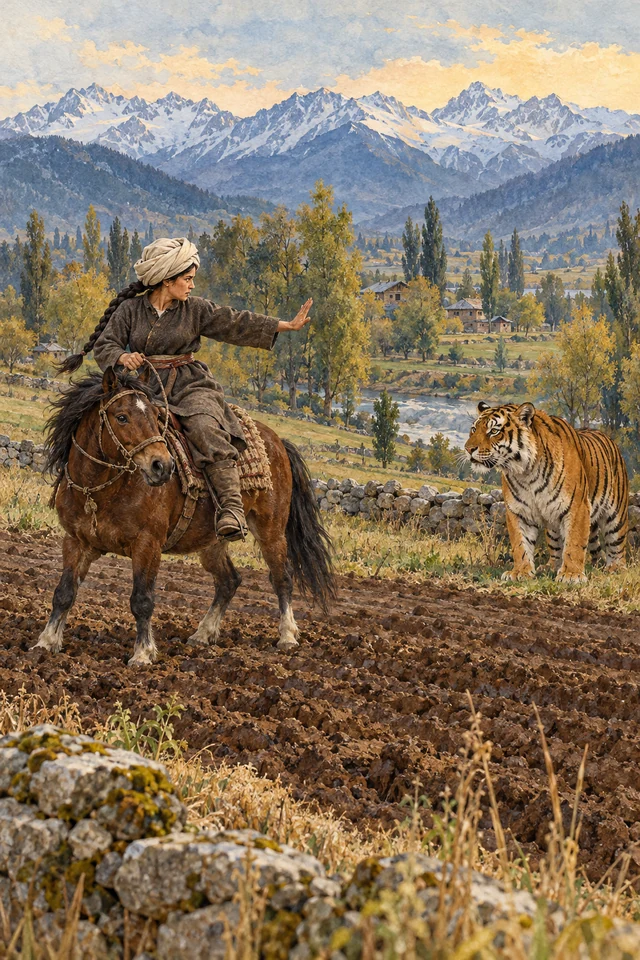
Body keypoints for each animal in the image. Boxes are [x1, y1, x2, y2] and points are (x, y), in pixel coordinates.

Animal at [37, 365, 335, 665]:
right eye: (121, 417)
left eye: (156, 417)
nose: (162, 465)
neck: (101, 490)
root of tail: (277, 442)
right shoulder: (76, 541)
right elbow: (64, 592)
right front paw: (46, 642)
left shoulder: (148, 545)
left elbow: (142, 600)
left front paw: (142, 654)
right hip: (213, 542)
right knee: (229, 581)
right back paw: (203, 634)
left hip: (270, 531)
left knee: (282, 578)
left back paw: (287, 636)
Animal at [464, 401, 628, 583]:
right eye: (473, 429)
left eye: (494, 431)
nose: (468, 449)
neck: (526, 473)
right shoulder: (518, 511)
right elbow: (520, 544)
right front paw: (520, 572)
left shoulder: (577, 507)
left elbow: (575, 541)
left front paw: (571, 575)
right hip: (553, 526)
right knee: (557, 547)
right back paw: (551, 566)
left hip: (616, 516)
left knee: (617, 546)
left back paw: (616, 568)